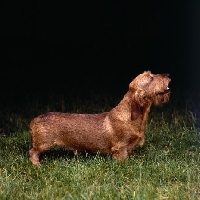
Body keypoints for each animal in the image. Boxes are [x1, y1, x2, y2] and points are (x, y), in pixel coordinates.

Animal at [28, 71, 171, 165]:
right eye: (151, 78)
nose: (169, 74)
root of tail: (34, 120)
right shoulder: (120, 147)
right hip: (43, 143)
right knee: (32, 152)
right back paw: (37, 165)